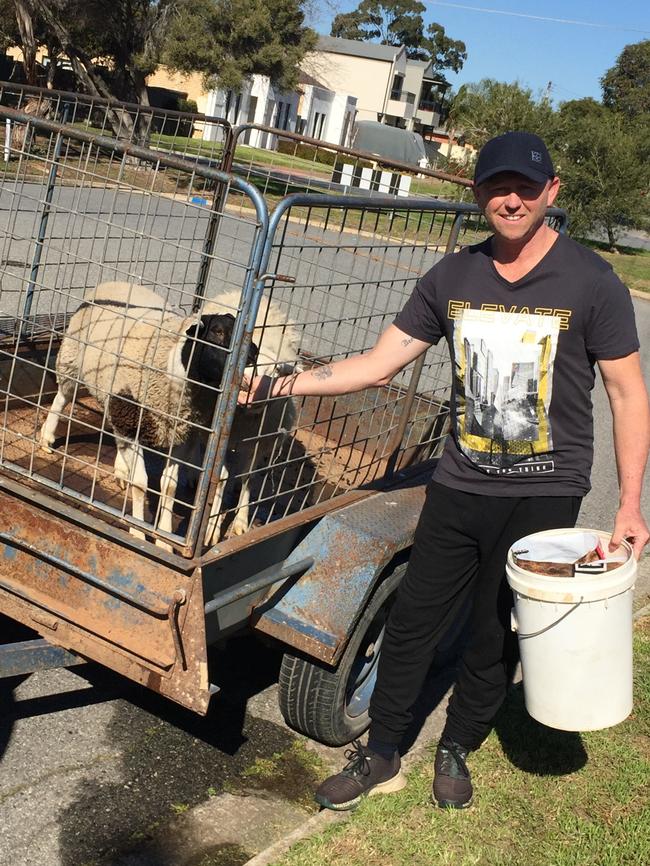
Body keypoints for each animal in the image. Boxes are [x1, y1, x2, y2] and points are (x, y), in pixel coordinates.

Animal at [38, 280, 258, 552]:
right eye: (217, 331)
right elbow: (140, 484)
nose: (253, 356)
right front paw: (137, 532)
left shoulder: (179, 434)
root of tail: (116, 281)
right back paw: (47, 437)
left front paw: (163, 539)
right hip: (74, 360)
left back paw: (121, 468)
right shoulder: (132, 417)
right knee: (62, 397)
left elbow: (169, 487)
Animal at [200, 294, 302, 544]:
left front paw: (240, 521)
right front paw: (211, 526)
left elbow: (247, 477)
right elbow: (220, 477)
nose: (249, 386)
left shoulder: (256, 443)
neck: (246, 417)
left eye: (276, 371)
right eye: (249, 363)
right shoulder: (222, 440)